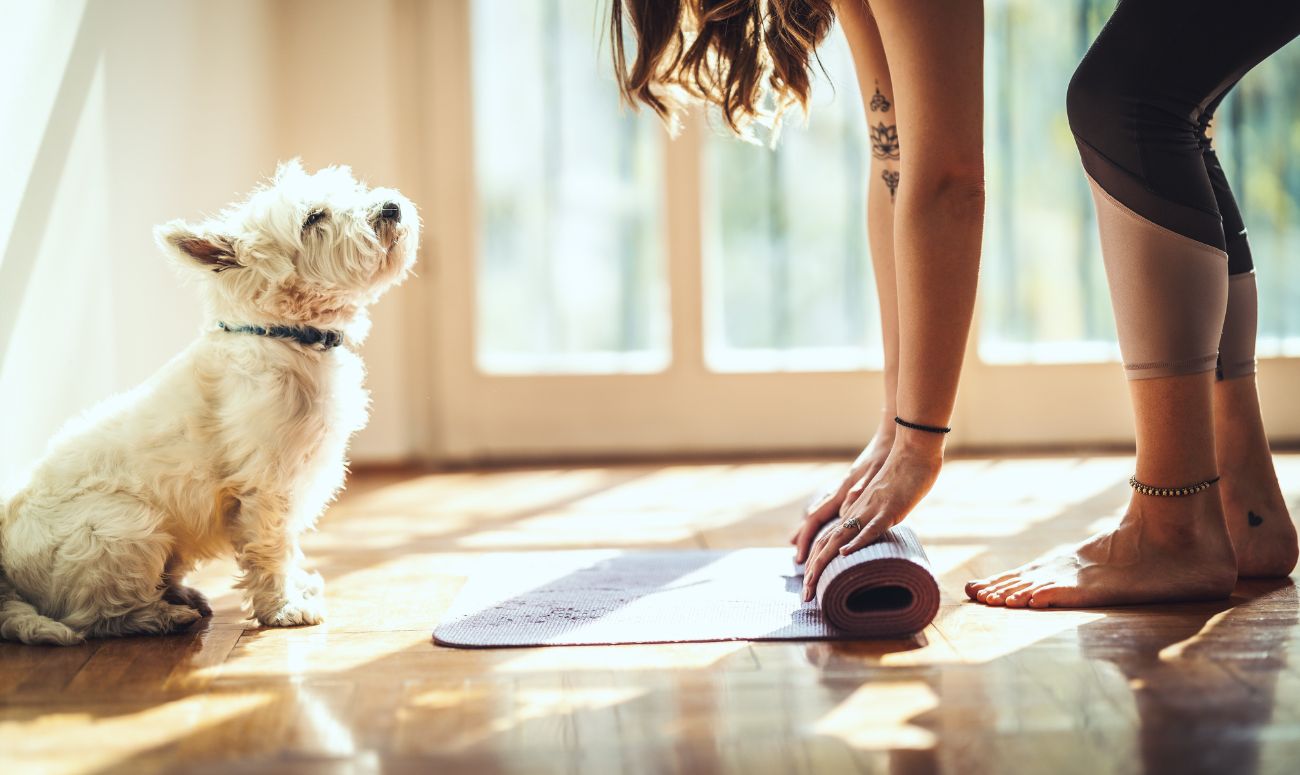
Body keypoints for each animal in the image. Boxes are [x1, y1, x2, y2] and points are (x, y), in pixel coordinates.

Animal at [0, 160, 418, 644]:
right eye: (314, 218)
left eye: (350, 189)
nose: (392, 206)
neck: (285, 336)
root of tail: (7, 571)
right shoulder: (266, 483)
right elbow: (271, 548)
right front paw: (283, 608)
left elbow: (289, 546)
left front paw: (299, 588)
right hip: (124, 524)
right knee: (94, 616)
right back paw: (162, 616)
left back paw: (181, 595)